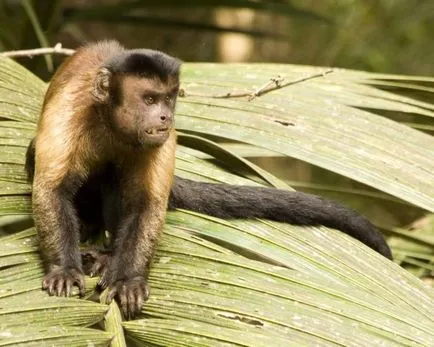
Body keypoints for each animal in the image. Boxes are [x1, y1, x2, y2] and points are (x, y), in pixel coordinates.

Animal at [24, 40, 394, 320]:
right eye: (149, 98)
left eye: (168, 98)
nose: (165, 115)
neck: (111, 122)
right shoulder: (69, 111)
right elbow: (52, 189)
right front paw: (64, 269)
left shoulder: (164, 137)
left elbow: (146, 204)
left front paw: (127, 278)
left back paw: (107, 255)